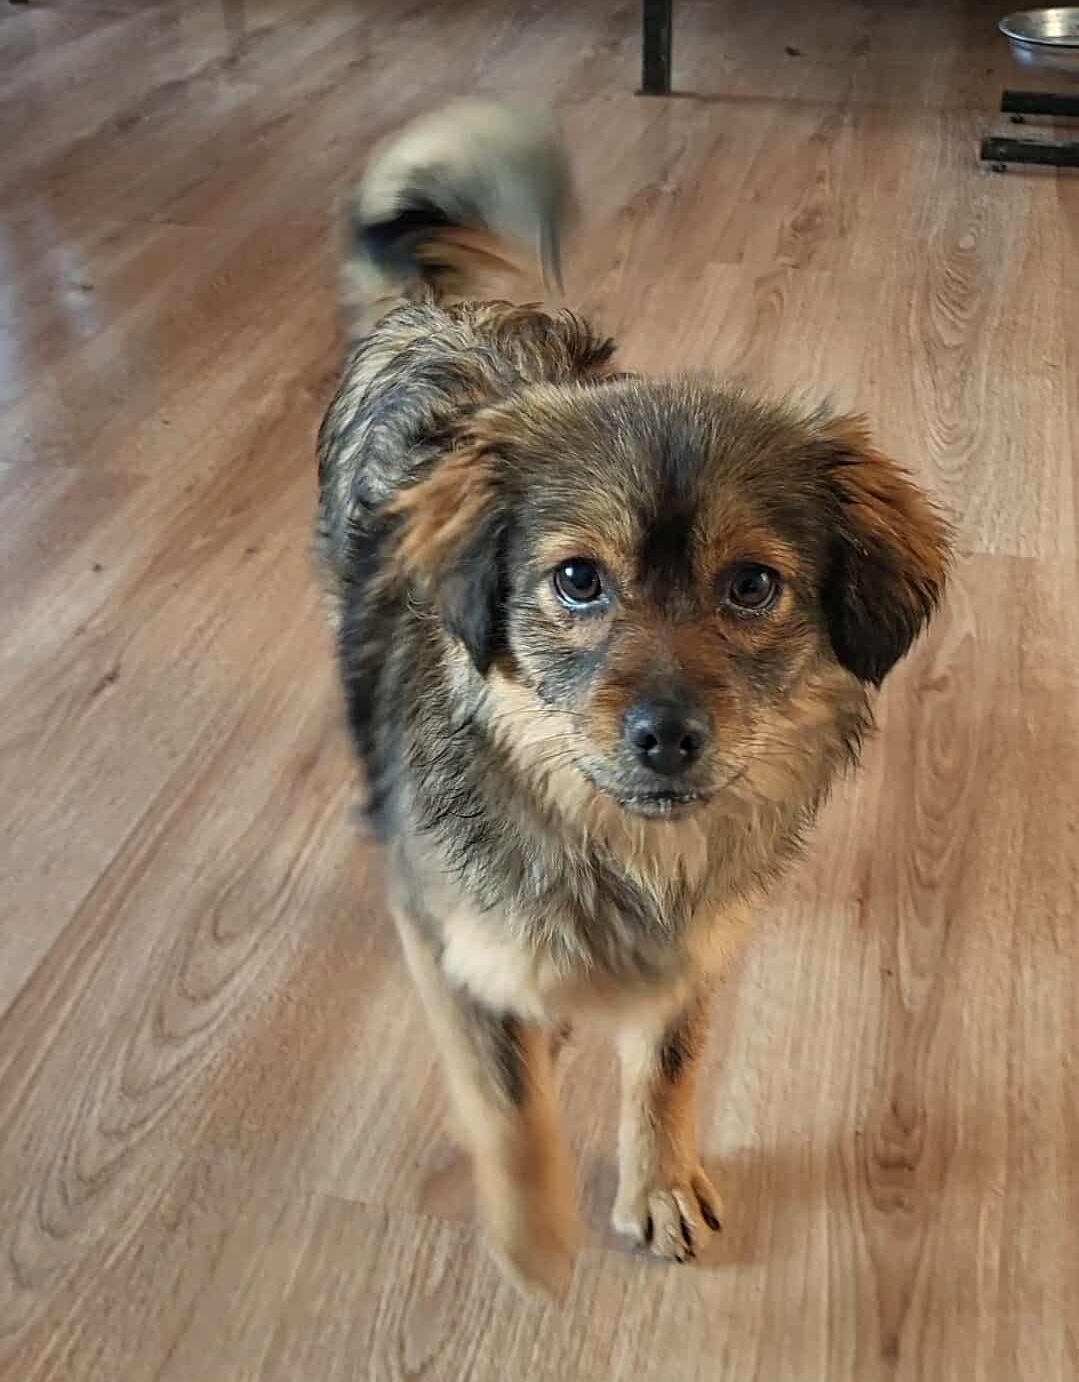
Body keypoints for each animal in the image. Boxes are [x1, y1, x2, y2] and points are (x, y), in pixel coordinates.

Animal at [315, 98, 950, 1296]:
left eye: (750, 587)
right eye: (576, 581)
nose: (665, 738)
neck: (610, 847)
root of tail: (437, 311)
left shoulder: (695, 938)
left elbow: (669, 1057)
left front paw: (656, 1184)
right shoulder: (442, 932)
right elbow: (504, 1097)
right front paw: (532, 1235)